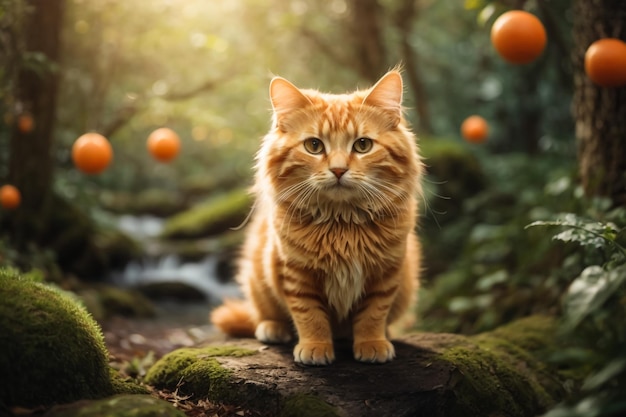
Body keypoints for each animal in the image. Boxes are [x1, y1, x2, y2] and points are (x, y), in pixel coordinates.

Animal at [211, 70, 424, 364]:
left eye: (363, 145)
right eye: (314, 146)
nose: (338, 169)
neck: (342, 223)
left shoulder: (385, 273)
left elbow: (373, 314)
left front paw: (372, 343)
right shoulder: (296, 274)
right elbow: (310, 316)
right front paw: (316, 347)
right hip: (258, 281)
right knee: (261, 316)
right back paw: (272, 329)